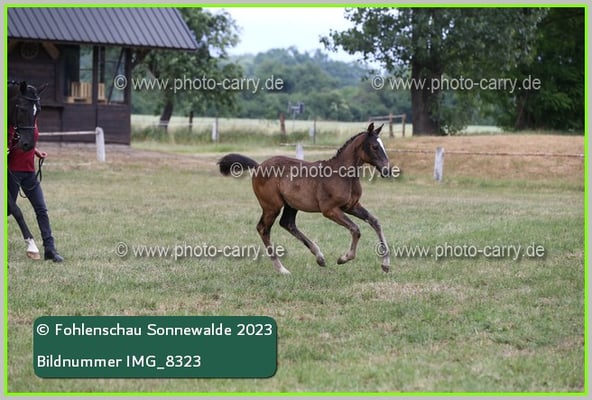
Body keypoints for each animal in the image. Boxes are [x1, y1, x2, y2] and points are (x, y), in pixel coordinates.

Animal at [218, 122, 392, 275]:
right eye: (374, 147)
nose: (388, 170)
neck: (342, 175)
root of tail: (259, 166)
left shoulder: (352, 206)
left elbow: (375, 222)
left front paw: (386, 265)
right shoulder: (330, 210)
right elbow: (356, 229)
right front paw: (344, 258)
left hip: (291, 205)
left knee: (287, 223)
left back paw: (319, 257)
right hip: (272, 206)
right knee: (263, 229)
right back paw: (282, 269)